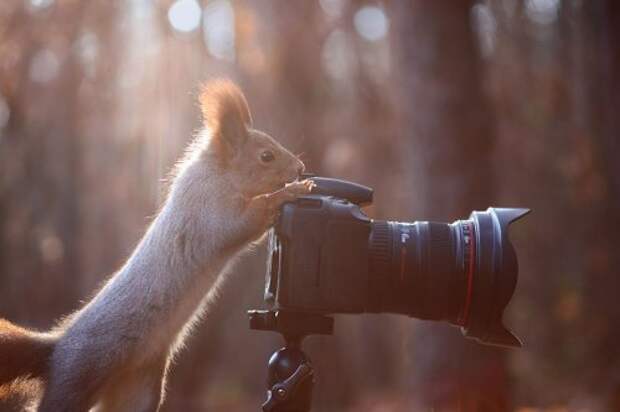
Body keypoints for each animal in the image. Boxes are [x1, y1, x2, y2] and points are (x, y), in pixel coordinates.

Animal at [0, 80, 310, 412]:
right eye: (266, 156)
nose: (300, 168)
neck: (217, 173)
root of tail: (57, 349)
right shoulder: (209, 211)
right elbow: (246, 219)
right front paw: (291, 192)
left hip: (139, 388)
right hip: (79, 375)